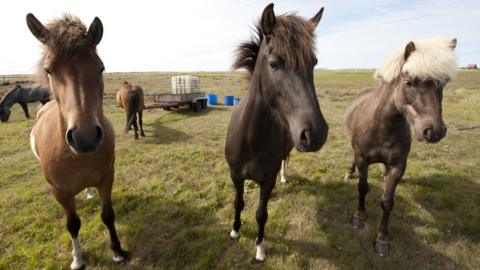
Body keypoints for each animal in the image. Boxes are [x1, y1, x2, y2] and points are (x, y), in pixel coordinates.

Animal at [26, 12, 127, 268]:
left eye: (101, 68)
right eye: (49, 70)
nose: (85, 137)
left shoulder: (107, 178)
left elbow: (108, 215)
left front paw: (117, 250)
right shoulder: (60, 192)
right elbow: (72, 224)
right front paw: (78, 258)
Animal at [225, 3, 326, 262]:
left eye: (314, 63)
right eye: (274, 63)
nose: (316, 133)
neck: (251, 139)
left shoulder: (266, 180)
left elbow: (261, 214)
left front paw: (260, 247)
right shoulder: (235, 175)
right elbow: (238, 203)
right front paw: (235, 231)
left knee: (285, 160)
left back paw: (284, 176)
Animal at [344, 37, 458, 256]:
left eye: (443, 84)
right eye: (409, 82)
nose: (434, 131)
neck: (382, 126)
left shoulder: (398, 165)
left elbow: (387, 201)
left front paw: (382, 238)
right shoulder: (362, 159)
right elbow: (362, 188)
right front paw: (359, 217)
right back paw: (349, 172)